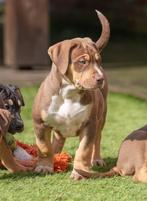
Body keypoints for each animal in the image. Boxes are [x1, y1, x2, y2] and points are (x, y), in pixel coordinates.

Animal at [32, 10, 110, 179]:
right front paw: (44, 166)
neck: (69, 93)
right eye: (82, 61)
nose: (100, 79)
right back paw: (56, 156)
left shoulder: (90, 124)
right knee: (57, 141)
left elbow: (84, 150)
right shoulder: (40, 123)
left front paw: (80, 172)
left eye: (99, 61)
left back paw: (97, 159)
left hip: (101, 117)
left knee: (97, 139)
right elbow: (44, 147)